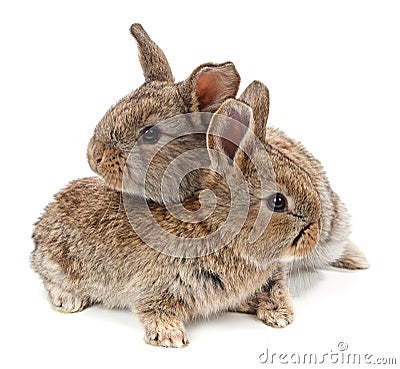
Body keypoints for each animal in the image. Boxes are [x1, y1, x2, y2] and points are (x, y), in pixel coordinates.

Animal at [32, 82, 322, 346]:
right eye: (278, 201)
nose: (315, 234)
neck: (216, 228)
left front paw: (277, 313)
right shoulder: (159, 285)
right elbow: (154, 308)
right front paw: (170, 336)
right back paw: (68, 299)